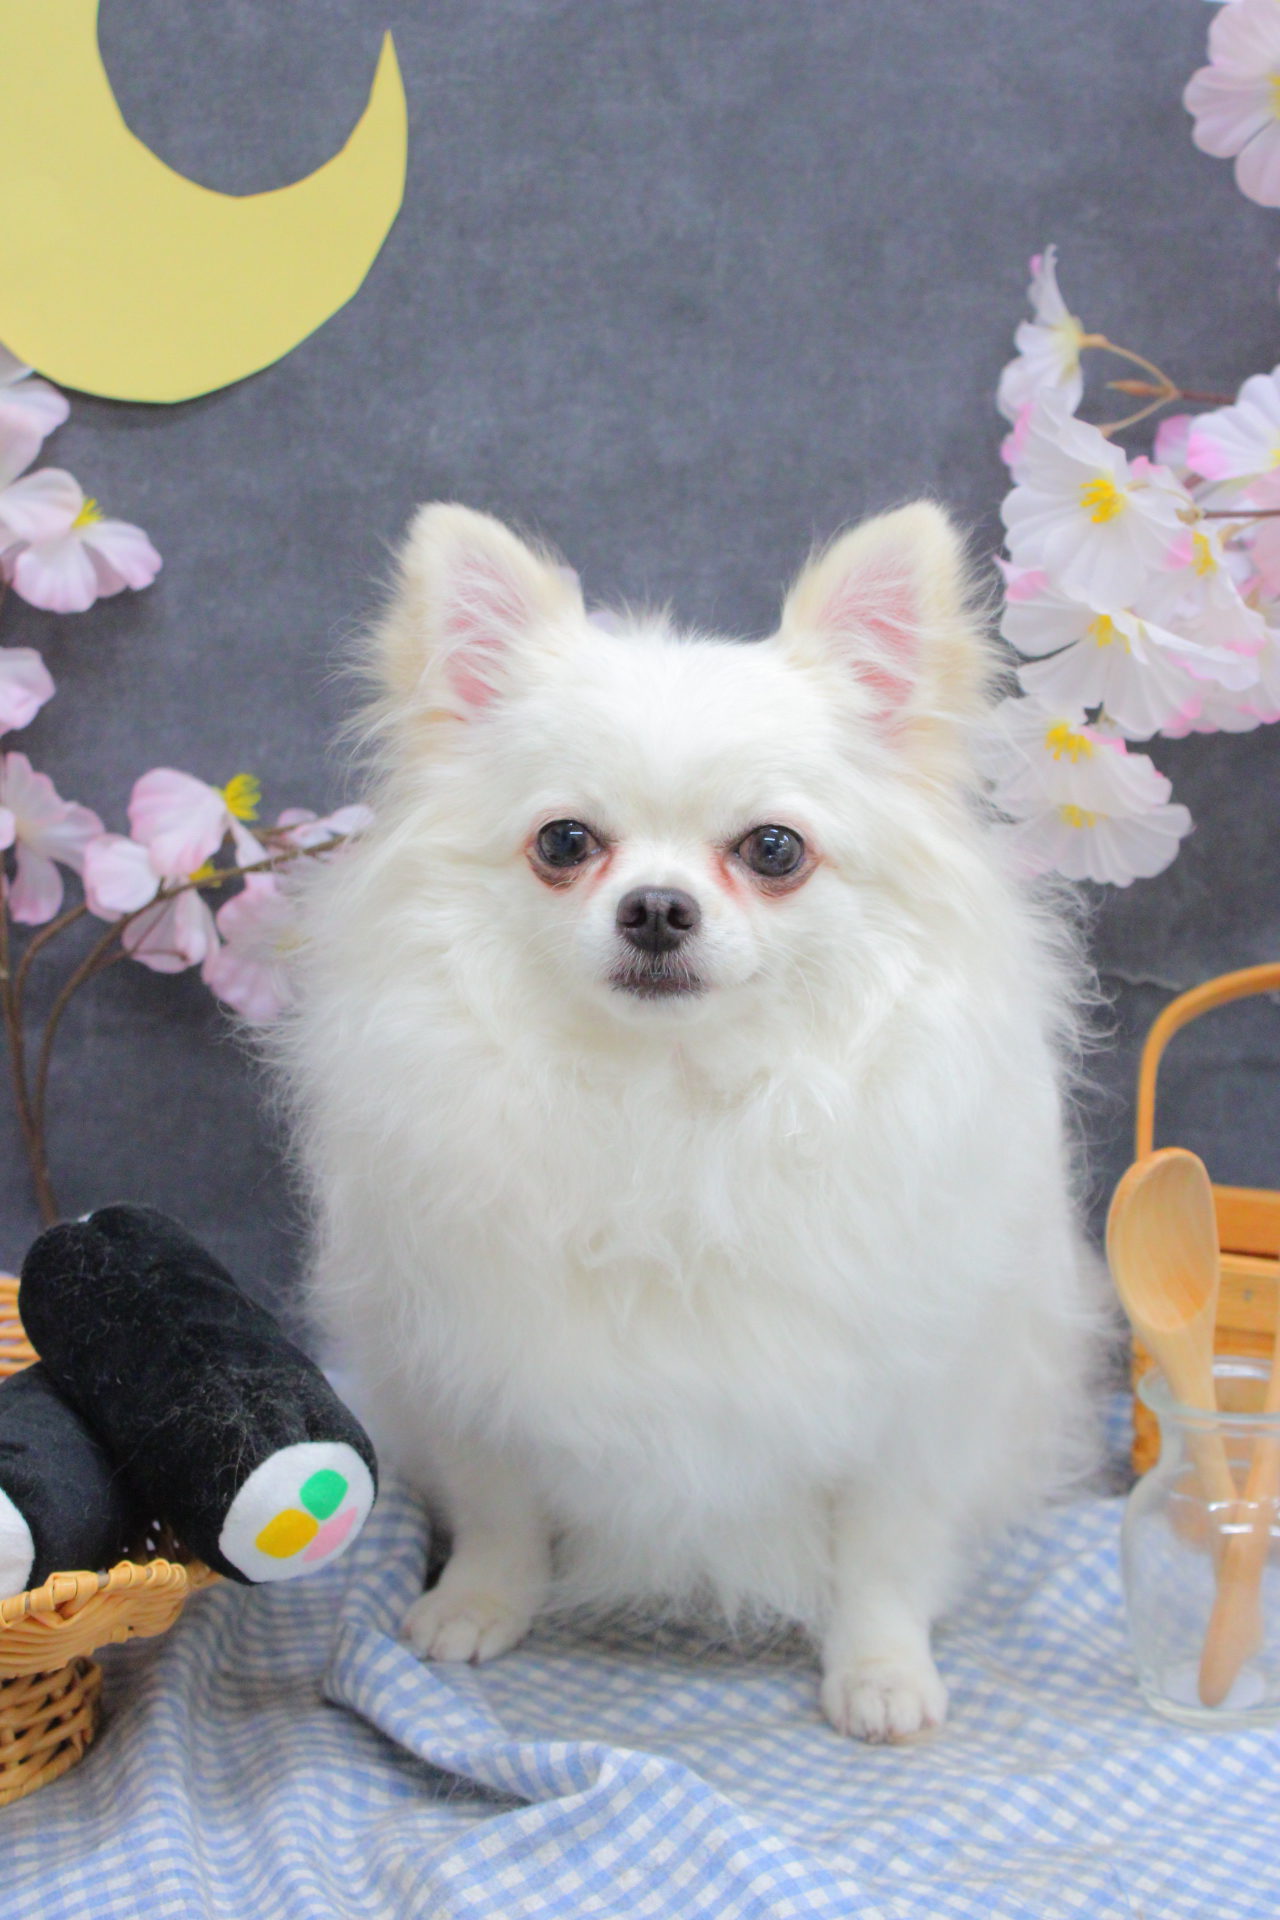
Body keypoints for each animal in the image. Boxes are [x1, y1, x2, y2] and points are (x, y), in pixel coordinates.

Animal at [278, 499, 1099, 1742]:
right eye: (564, 843)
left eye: (772, 850)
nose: (657, 907)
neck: (668, 1098)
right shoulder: (471, 1362)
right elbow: (500, 1512)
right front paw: (476, 1608)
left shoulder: (916, 1399)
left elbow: (882, 1549)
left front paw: (879, 1671)